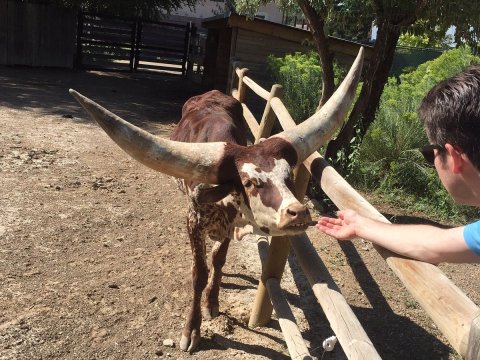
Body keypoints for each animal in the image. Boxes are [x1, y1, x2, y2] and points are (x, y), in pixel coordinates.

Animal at [69, 47, 364, 352]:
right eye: (249, 183)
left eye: (288, 177)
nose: (298, 213)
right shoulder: (193, 221)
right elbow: (199, 273)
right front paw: (191, 330)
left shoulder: (230, 223)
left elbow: (219, 260)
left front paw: (212, 302)